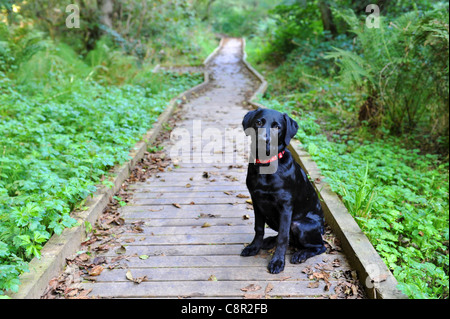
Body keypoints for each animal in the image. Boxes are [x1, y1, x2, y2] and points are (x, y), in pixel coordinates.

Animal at [241, 109, 326, 274]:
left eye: (277, 127)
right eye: (258, 122)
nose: (263, 140)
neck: (266, 167)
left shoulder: (286, 206)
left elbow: (283, 237)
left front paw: (277, 261)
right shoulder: (256, 201)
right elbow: (259, 228)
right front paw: (254, 247)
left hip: (299, 224)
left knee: (321, 246)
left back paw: (301, 254)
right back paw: (269, 241)